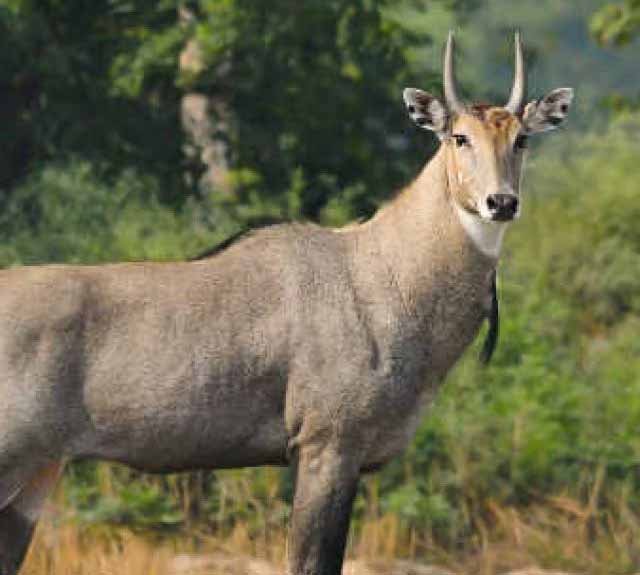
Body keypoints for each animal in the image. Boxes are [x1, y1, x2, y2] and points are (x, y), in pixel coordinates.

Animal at [0, 31, 568, 575]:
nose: (501, 202)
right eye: (459, 136)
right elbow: (310, 561)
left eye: (520, 139)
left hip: (38, 472)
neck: (384, 275)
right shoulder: (327, 444)